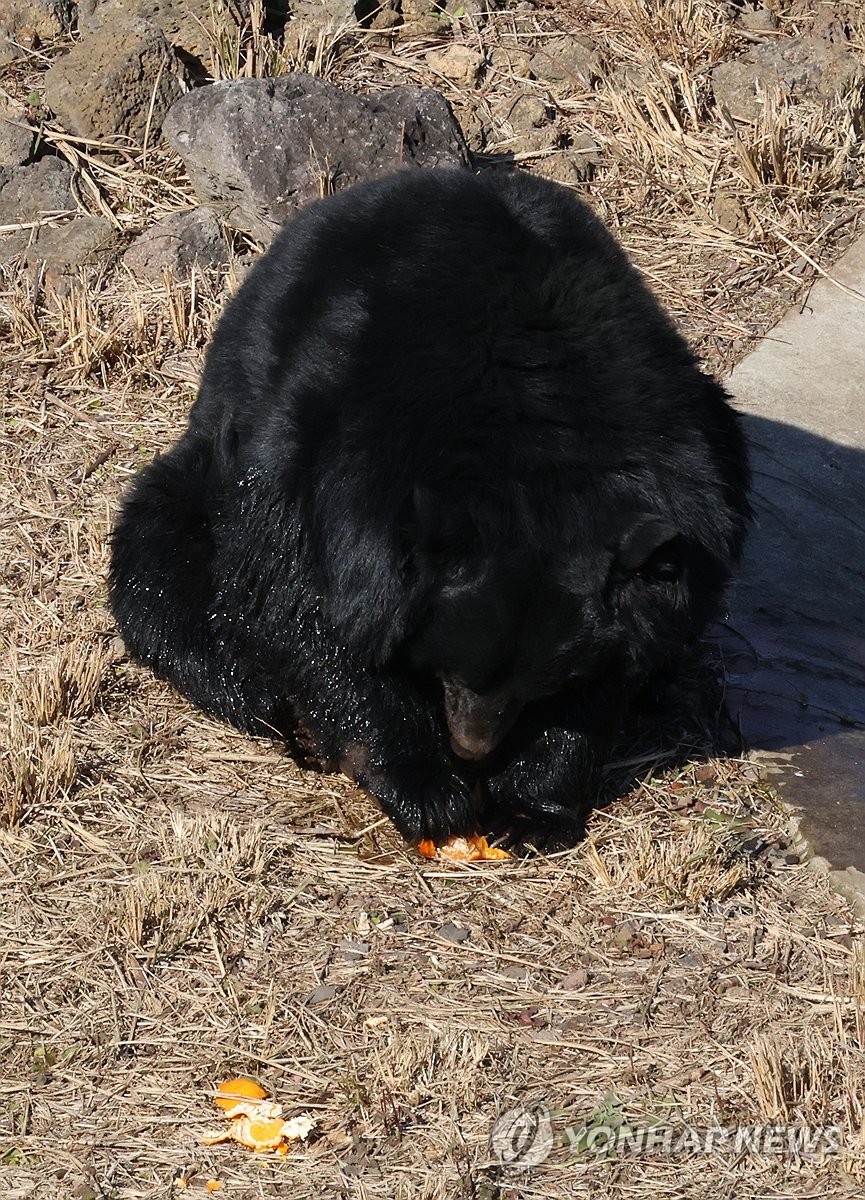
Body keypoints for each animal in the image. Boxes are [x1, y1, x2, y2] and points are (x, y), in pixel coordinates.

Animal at [111, 169, 748, 849]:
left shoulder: (683, 504)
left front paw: (526, 812)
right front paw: (431, 794)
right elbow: (304, 610)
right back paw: (261, 700)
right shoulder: (325, 473)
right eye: (454, 671)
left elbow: (612, 669)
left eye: (537, 682)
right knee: (161, 573)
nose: (474, 748)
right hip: (208, 466)